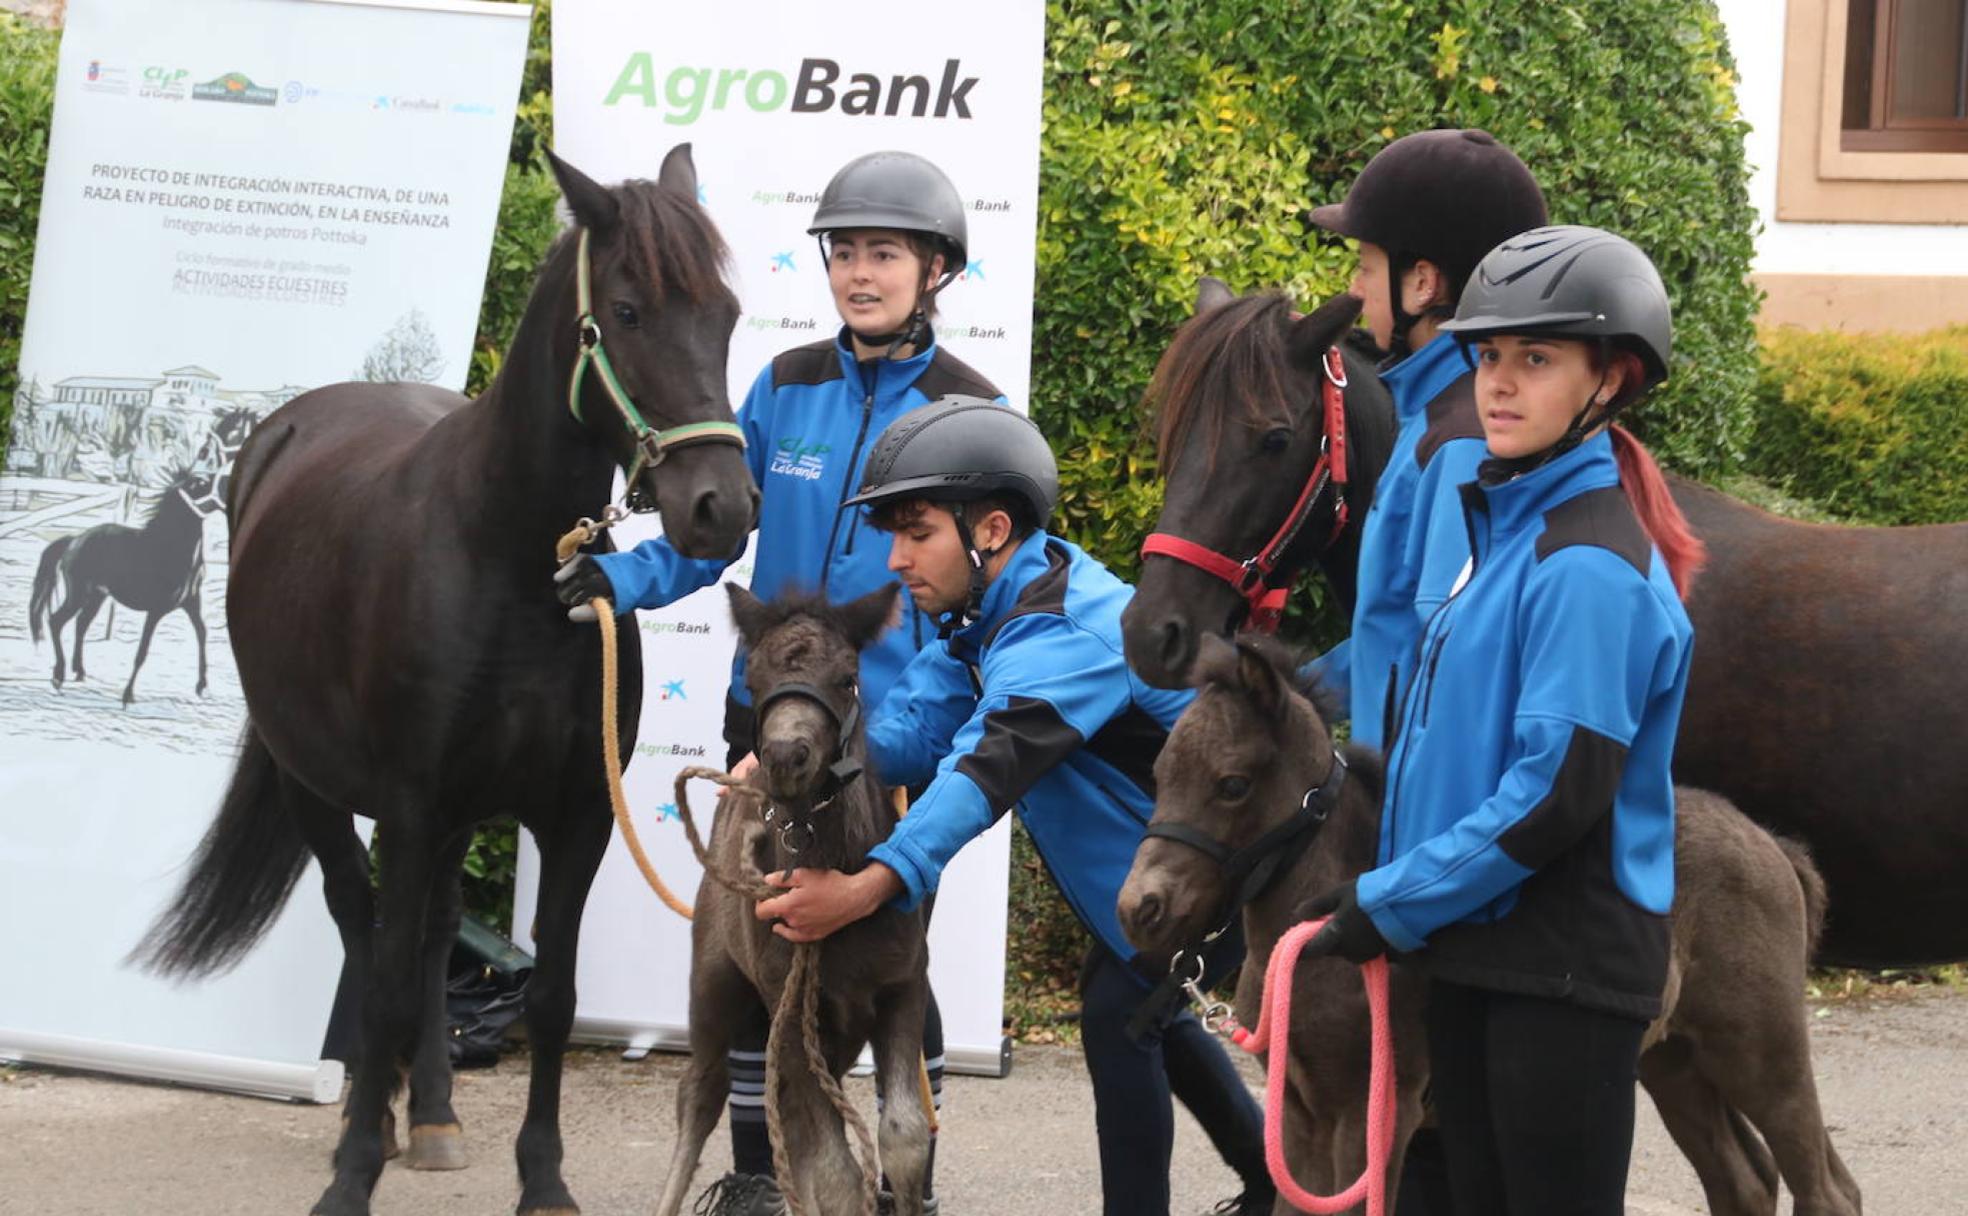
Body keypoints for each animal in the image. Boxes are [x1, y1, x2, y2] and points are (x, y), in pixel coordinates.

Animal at [29, 456, 228, 704]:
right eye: (199, 483)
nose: (228, 487)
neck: (170, 549)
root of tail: (74, 539)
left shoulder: (191, 603)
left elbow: (202, 634)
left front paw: (202, 687)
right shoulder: (156, 609)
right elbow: (142, 650)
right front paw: (128, 695)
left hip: (97, 596)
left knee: (81, 623)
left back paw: (79, 671)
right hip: (79, 594)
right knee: (56, 621)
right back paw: (58, 677)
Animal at [132, 149, 759, 1212]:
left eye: (726, 312)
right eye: (628, 311)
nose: (721, 506)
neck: (505, 555)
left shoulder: (574, 814)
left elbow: (552, 996)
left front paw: (542, 1179)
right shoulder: (413, 808)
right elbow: (381, 982)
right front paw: (351, 1174)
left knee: (430, 936)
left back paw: (429, 1113)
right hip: (317, 788)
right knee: (362, 924)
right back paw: (375, 1114)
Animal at [657, 578, 932, 1212]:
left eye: (849, 676)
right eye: (752, 678)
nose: (784, 756)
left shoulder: (903, 986)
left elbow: (904, 1136)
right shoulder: (786, 1000)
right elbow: (835, 1172)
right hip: (715, 985)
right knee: (701, 1091)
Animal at [1125, 633, 1857, 1212]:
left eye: (1232, 784)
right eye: (1157, 772)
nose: (1138, 909)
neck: (1310, 949)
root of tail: (1772, 845)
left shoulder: (1374, 1110)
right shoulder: (1299, 1115)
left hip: (1762, 1053)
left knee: (1827, 1188)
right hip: (1672, 1062)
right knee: (1744, 1180)